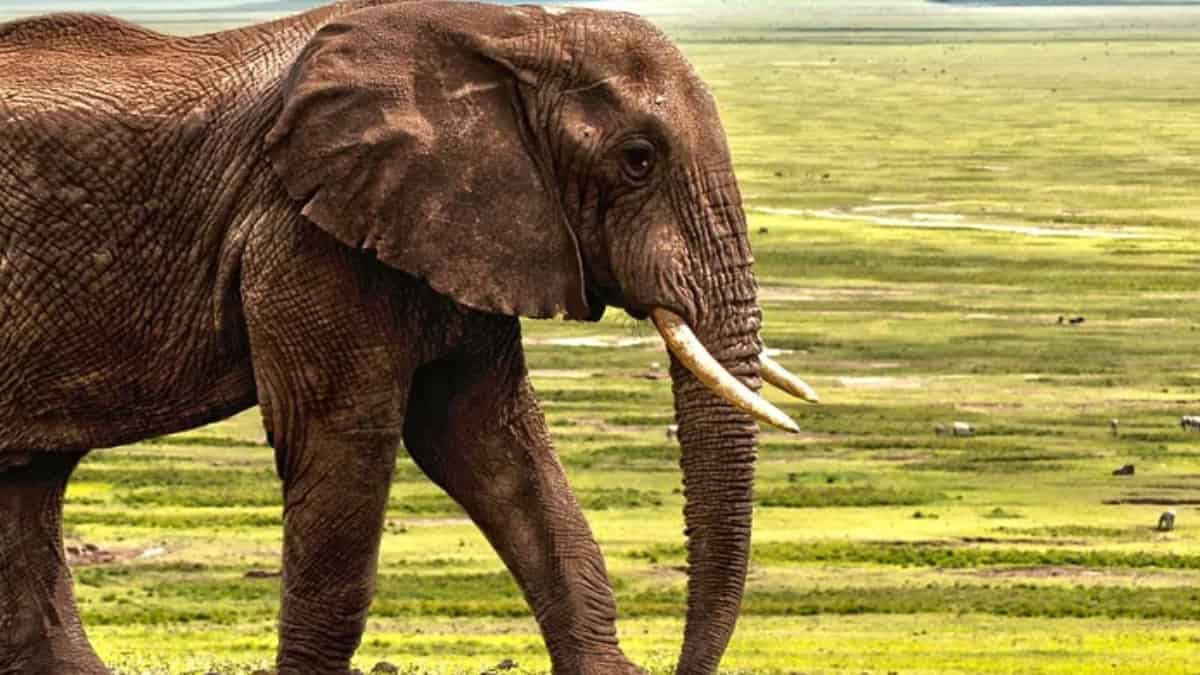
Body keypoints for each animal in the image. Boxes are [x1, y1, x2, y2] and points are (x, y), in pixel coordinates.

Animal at [0, 1, 819, 674]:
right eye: (638, 159)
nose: (679, 667)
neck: (511, 32)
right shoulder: (303, 234)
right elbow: (348, 440)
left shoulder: (469, 227)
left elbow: (489, 442)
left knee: (28, 480)